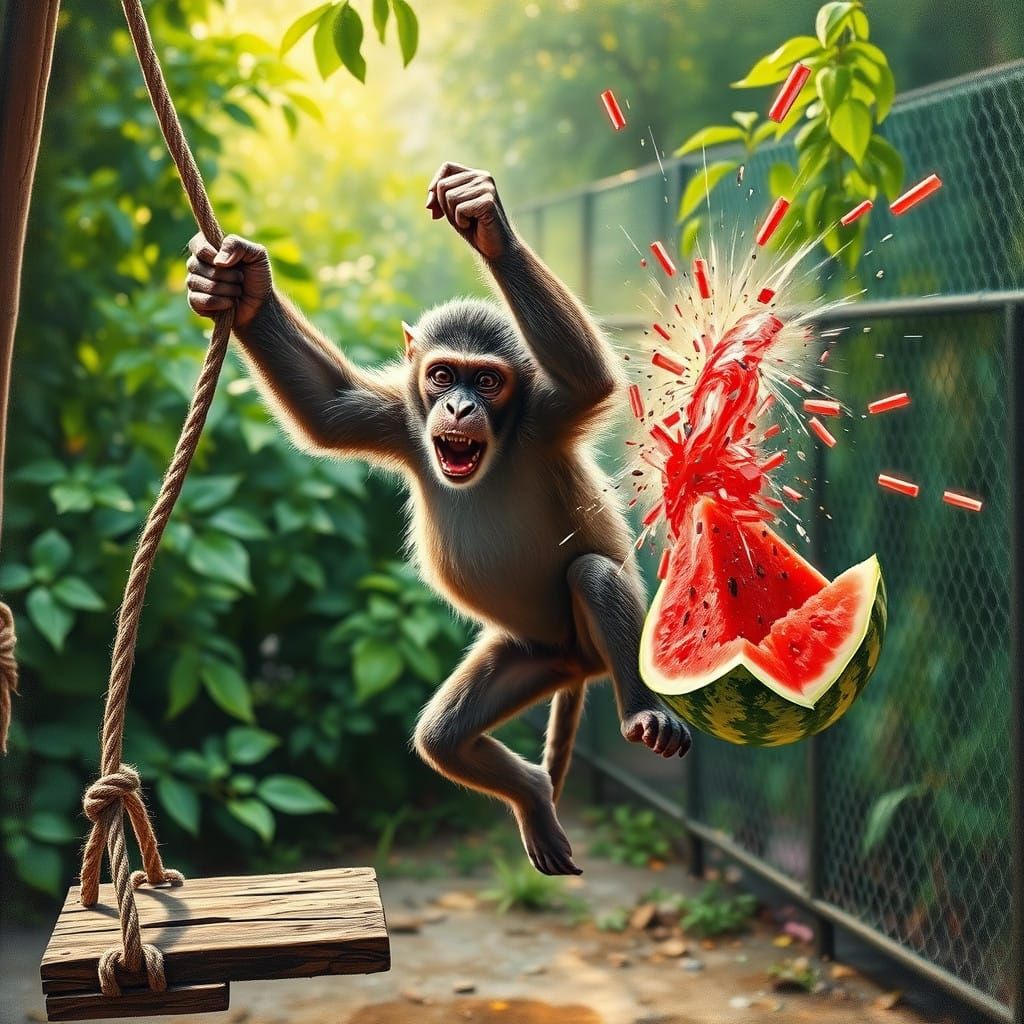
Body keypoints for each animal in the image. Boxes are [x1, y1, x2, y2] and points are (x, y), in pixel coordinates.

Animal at [185, 161, 690, 876]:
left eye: (488, 382)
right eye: (445, 374)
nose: (457, 408)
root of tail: (580, 667)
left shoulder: (547, 415)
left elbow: (590, 380)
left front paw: (487, 223)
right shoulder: (399, 417)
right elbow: (328, 408)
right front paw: (242, 288)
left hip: (587, 647)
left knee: (592, 574)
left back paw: (643, 712)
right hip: (533, 657)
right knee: (444, 737)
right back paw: (532, 796)